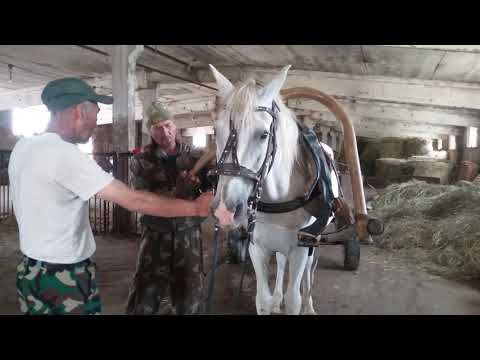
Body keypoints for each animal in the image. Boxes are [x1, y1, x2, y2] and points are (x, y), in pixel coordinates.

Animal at [210, 64, 342, 316]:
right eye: (216, 131)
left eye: (263, 134)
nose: (224, 210)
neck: (277, 199)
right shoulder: (256, 246)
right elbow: (262, 299)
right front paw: (273, 301)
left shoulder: (300, 248)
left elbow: (294, 300)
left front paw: (300, 304)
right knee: (281, 263)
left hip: (313, 241)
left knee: (309, 271)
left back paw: (309, 305)